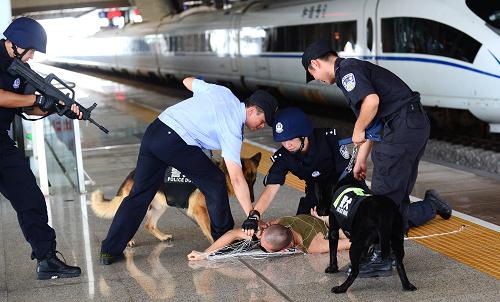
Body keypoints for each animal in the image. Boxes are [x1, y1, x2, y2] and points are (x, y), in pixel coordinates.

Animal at [91, 153, 262, 245]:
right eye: (246, 180)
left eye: (254, 180)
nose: (252, 199)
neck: (223, 172)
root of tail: (131, 175)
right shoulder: (199, 210)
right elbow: (208, 228)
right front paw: (217, 244)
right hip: (140, 204)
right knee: (125, 219)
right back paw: (126, 241)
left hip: (160, 206)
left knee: (148, 225)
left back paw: (161, 236)